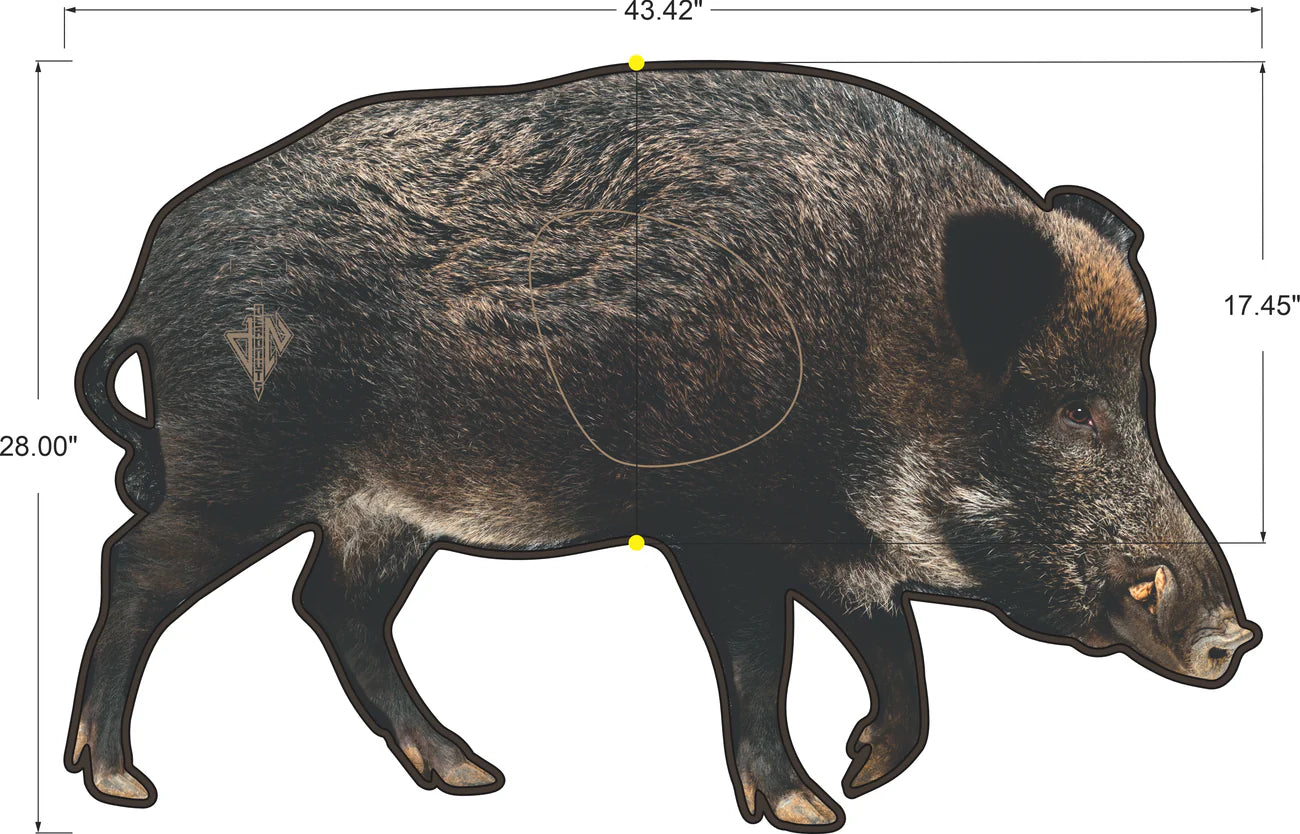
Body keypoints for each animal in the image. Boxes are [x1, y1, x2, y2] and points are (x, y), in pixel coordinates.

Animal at [66, 61, 1259, 830]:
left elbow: (894, 649)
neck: (871, 334)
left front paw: (861, 778)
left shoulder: (832, 545)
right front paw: (809, 809)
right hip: (240, 466)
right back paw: (121, 785)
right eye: (1070, 408)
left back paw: (474, 777)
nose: (1235, 635)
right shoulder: (715, 521)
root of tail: (150, 277)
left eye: (1143, 397)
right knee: (138, 564)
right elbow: (765, 654)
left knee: (330, 605)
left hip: (381, 515)